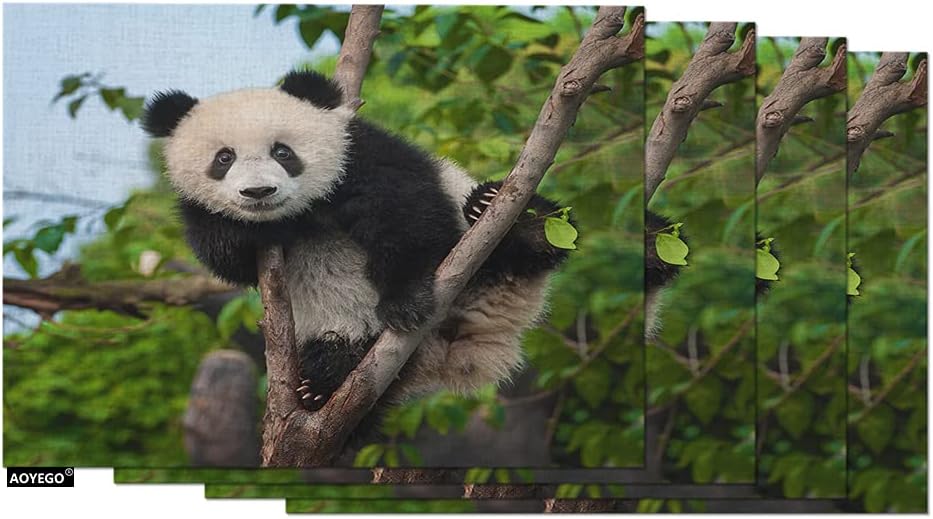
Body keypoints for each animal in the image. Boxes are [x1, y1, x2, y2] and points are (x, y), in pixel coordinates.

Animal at [141, 70, 570, 427]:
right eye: (224, 158)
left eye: (283, 152)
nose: (259, 192)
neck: (299, 212)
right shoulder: (200, 212)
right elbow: (226, 256)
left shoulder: (358, 154)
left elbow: (404, 211)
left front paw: (405, 301)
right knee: (341, 354)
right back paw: (322, 383)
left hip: (485, 252)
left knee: (525, 235)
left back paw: (509, 216)